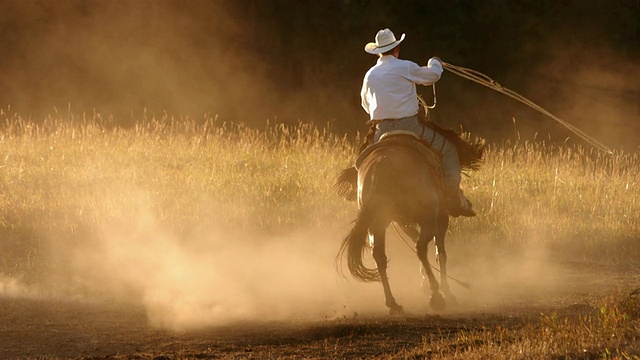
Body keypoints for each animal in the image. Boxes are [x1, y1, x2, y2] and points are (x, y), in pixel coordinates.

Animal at [336, 135, 456, 316]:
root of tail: (380, 166)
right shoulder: (440, 218)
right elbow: (440, 253)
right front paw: (446, 291)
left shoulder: (403, 223)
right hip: (428, 219)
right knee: (421, 248)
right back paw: (436, 295)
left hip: (377, 223)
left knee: (380, 256)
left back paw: (393, 303)